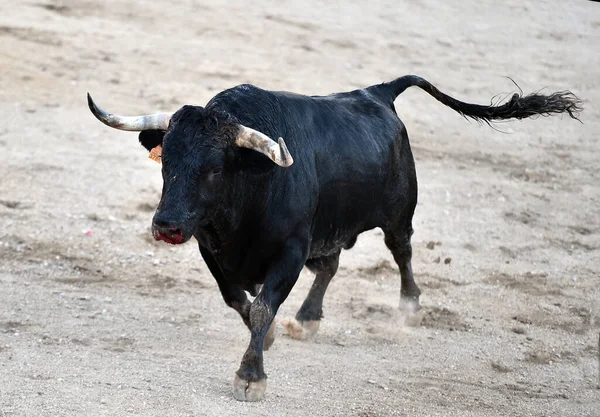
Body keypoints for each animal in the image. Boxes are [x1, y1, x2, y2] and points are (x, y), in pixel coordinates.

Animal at [88, 75, 580, 400]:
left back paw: (409, 307)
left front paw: (251, 376)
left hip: (399, 214)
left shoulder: (291, 249)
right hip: (328, 233)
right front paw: (267, 336)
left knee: (401, 253)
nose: (167, 225)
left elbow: (263, 304)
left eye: (213, 169)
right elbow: (238, 299)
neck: (252, 185)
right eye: (166, 161)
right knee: (329, 266)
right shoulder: (213, 247)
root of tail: (379, 92)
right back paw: (307, 318)